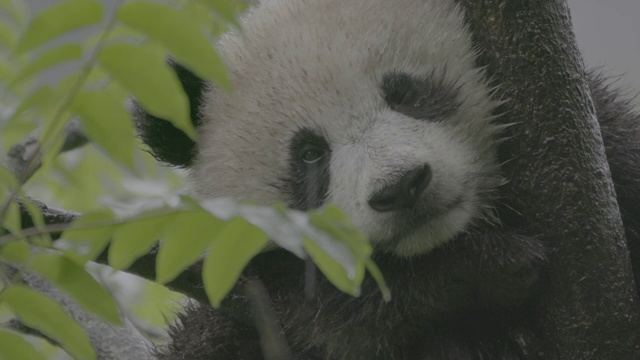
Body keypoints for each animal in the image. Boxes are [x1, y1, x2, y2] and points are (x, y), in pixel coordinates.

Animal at [134, 0, 640, 358]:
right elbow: (332, 312)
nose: (400, 187)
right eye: (311, 153)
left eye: (406, 93)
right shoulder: (245, 298)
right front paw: (492, 266)